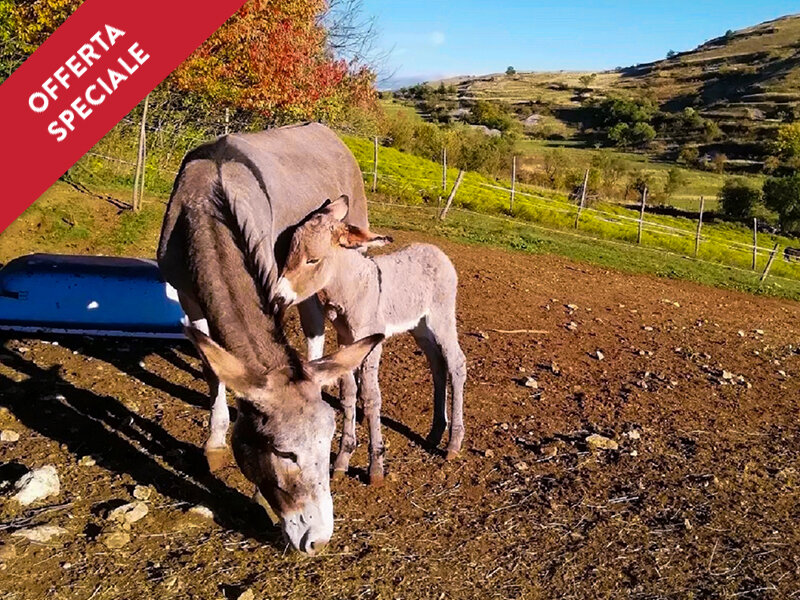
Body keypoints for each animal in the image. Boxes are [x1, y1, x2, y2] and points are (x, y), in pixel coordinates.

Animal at [276, 196, 466, 482]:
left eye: (313, 260)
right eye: (289, 255)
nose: (278, 298)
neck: (352, 286)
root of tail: (436, 250)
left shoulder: (372, 341)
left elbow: (370, 397)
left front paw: (376, 466)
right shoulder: (345, 341)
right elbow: (348, 394)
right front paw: (342, 458)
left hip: (441, 317)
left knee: (456, 363)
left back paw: (453, 443)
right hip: (420, 327)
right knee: (437, 365)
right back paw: (435, 433)